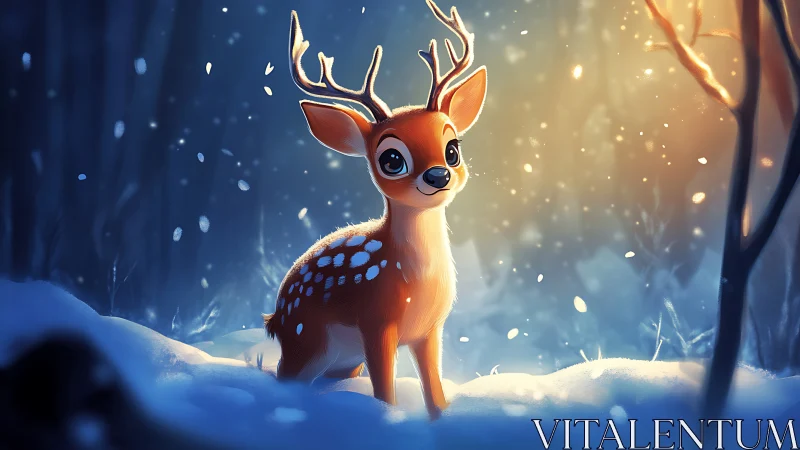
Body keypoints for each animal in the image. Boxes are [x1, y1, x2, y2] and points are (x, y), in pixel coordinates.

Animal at [262, 0, 487, 420]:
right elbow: (385, 393)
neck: (417, 280)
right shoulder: (375, 323)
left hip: (341, 359)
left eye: (452, 148)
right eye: (392, 159)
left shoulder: (430, 330)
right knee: (284, 380)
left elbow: (435, 394)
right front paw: (389, 422)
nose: (438, 175)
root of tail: (275, 317)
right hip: (306, 338)